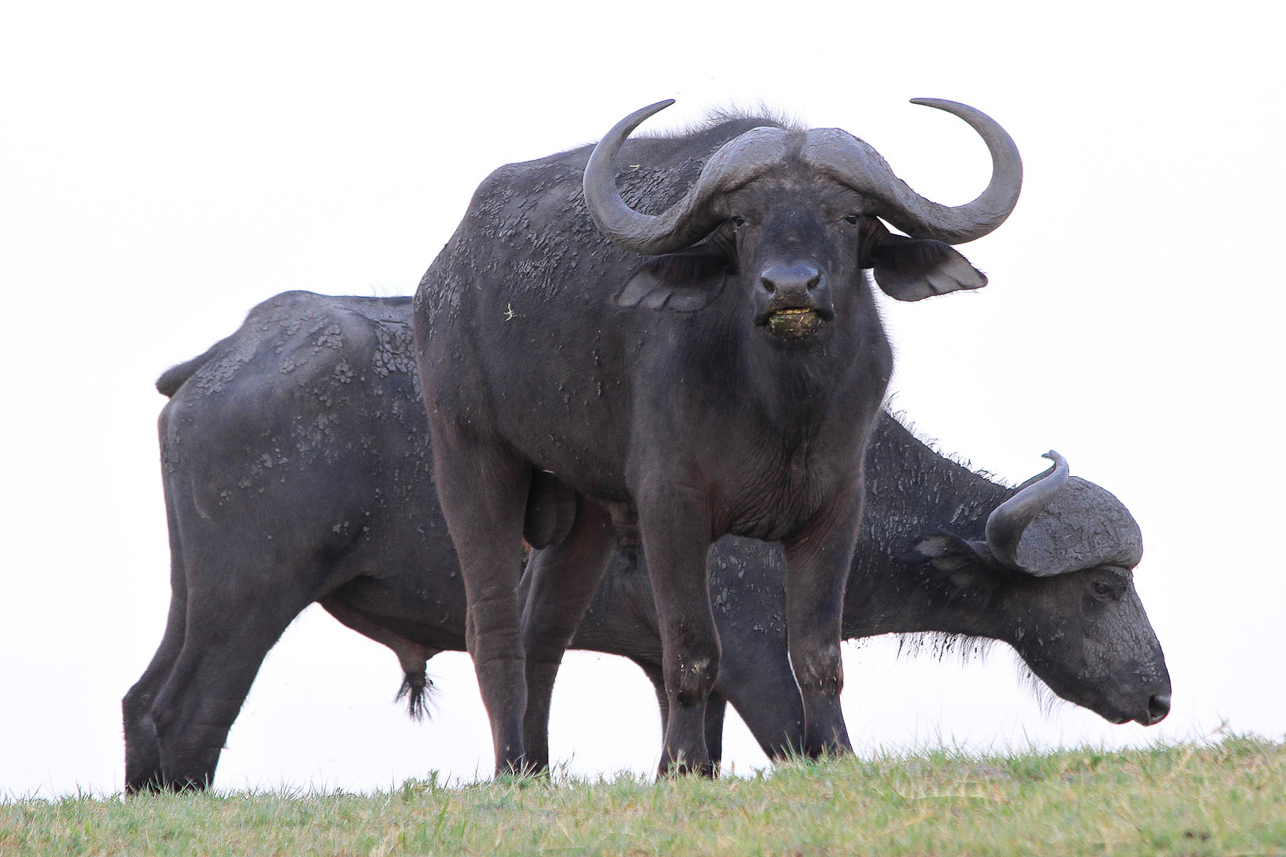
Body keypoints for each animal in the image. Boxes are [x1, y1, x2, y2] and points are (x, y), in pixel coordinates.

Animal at [122, 290, 1167, 792]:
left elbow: (689, 750)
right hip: (252, 596)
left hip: (194, 596)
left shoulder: (678, 659)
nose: (1159, 693)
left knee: (142, 704)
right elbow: (797, 742)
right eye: (1105, 587)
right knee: (188, 716)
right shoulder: (751, 652)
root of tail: (222, 358)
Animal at [411, 100, 1023, 772]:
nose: (790, 288)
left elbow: (818, 652)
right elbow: (692, 651)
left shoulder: (837, 507)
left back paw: (537, 769)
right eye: (740, 220)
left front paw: (835, 752)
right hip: (468, 451)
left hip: (586, 504)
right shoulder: (669, 506)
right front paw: (682, 766)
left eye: (849, 215)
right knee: (491, 625)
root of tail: (442, 280)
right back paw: (508, 770)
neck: (782, 408)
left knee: (542, 627)